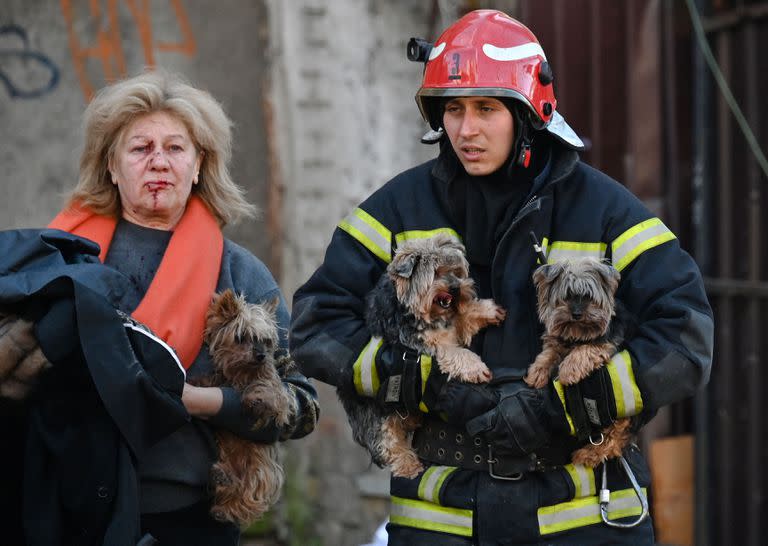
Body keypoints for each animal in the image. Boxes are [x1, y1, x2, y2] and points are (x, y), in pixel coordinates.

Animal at [195, 292, 294, 524]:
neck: (242, 375)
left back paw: (227, 502)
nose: (261, 355)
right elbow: (211, 381)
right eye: (241, 337)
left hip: (260, 470)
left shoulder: (279, 394)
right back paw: (222, 480)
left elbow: (273, 392)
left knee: (248, 492)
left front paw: (256, 397)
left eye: (266, 341)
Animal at [340, 234, 508, 476]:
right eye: (435, 273)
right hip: (376, 413)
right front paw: (475, 368)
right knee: (387, 440)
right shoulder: (421, 344)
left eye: (455, 271)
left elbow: (461, 316)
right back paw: (408, 464)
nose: (455, 288)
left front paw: (484, 311)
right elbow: (454, 352)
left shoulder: (449, 322)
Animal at [524, 258, 632, 466]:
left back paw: (588, 454)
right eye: (565, 297)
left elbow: (584, 351)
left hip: (621, 414)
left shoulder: (604, 343)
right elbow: (549, 353)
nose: (576, 313)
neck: (577, 333)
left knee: (615, 436)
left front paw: (568, 371)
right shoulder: (557, 341)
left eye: (589, 297)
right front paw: (537, 373)